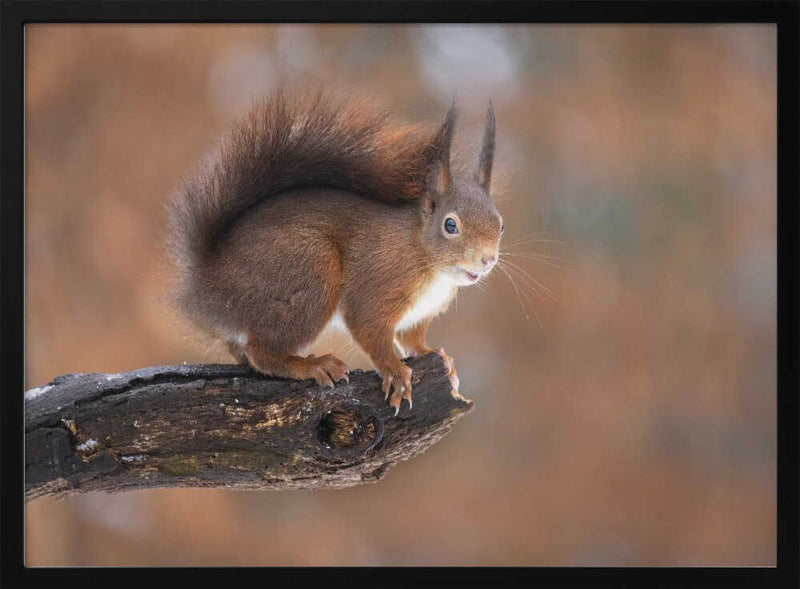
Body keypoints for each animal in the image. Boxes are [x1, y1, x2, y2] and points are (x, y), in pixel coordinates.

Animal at [169, 91, 503, 414]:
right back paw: (312, 365)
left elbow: (411, 340)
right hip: (311, 269)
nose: (488, 260)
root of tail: (206, 281)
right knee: (261, 353)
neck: (423, 255)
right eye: (450, 225)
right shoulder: (377, 283)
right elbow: (369, 328)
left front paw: (439, 358)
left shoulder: (419, 315)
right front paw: (395, 373)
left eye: (500, 225)